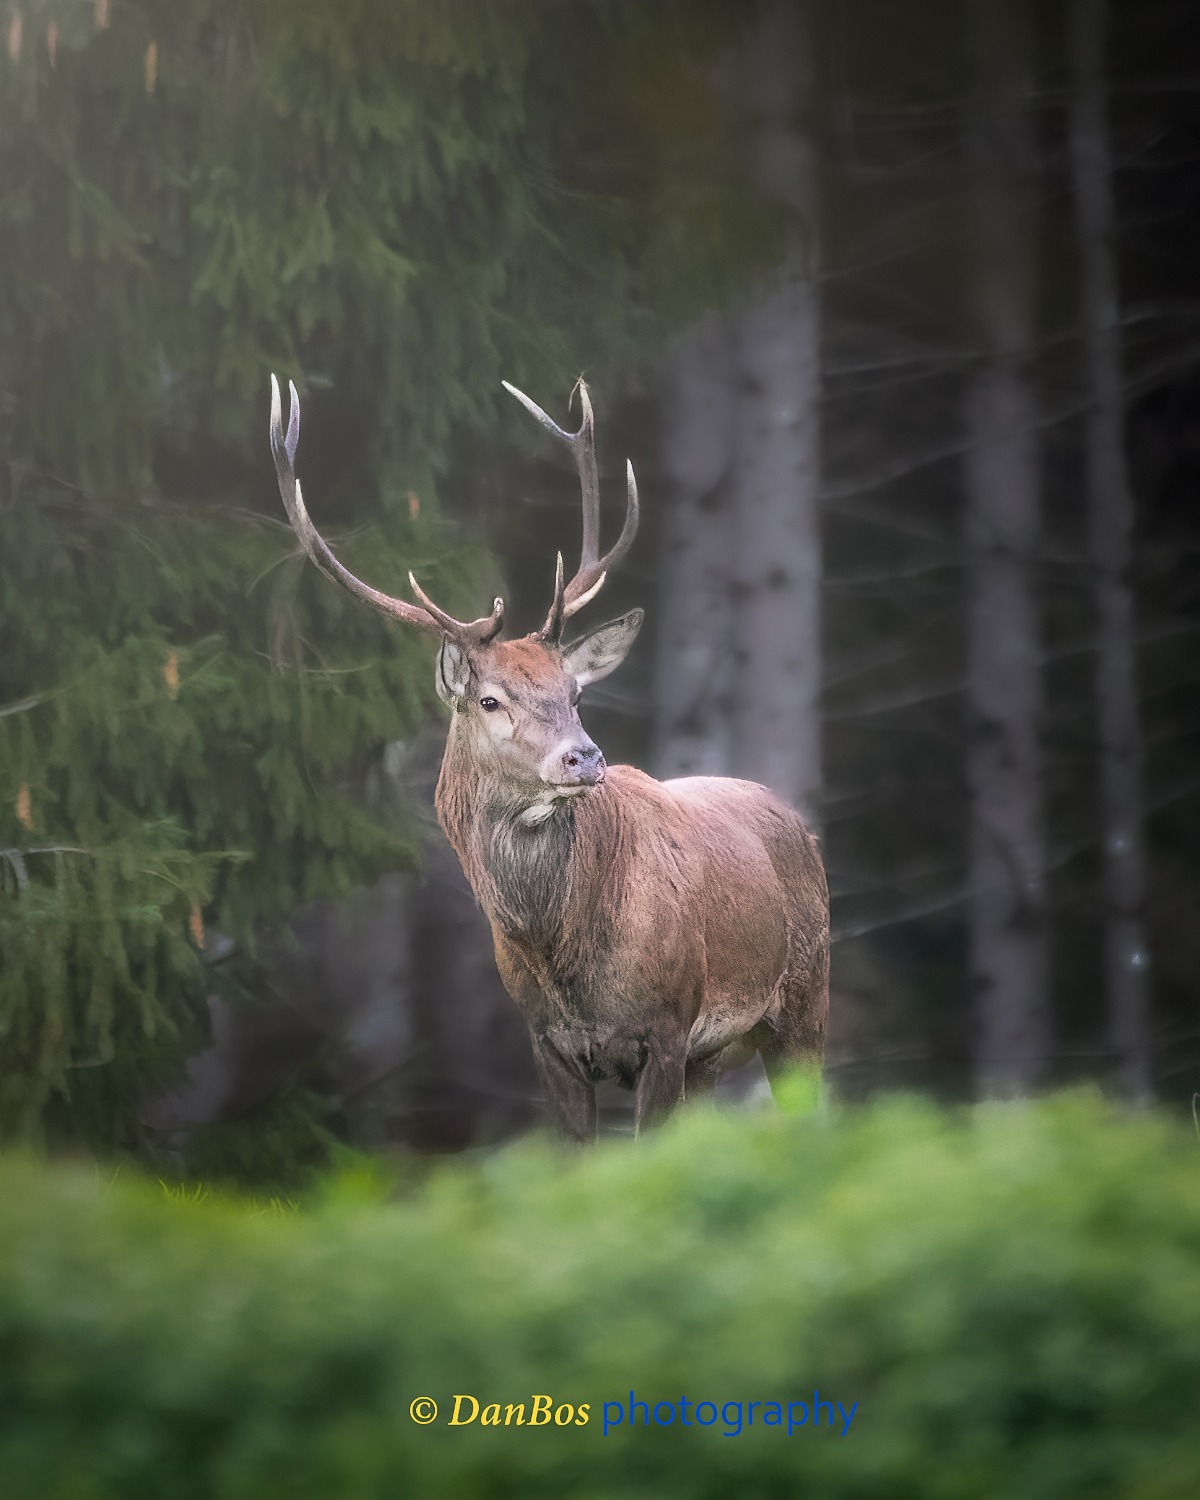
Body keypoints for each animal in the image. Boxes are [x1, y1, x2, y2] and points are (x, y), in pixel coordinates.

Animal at [269, 373, 829, 1139]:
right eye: (490, 700)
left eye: (575, 692)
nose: (584, 759)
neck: (561, 962)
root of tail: (795, 819)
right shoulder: (548, 1044)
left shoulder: (669, 1026)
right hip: (716, 1056)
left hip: (804, 996)